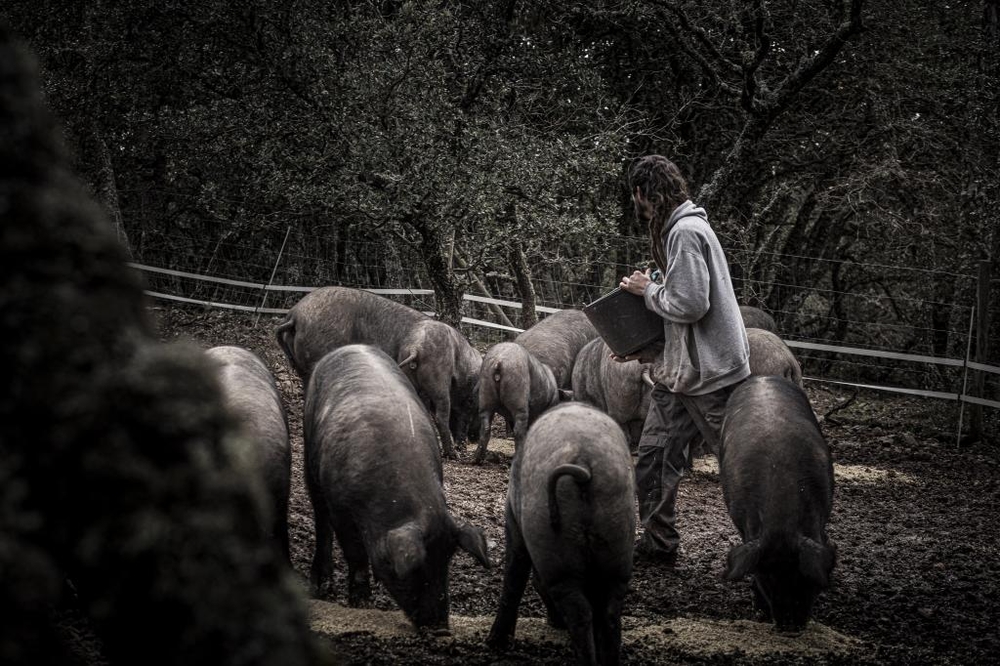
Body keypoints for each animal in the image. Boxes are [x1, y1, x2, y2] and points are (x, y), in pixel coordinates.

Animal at [272, 282, 478, 460]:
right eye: (470, 402)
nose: (472, 438)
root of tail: (295, 315)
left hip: (300, 365)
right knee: (441, 414)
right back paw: (453, 455)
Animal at [304, 344, 492, 632]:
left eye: (447, 560)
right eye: (416, 569)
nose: (440, 629)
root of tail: (348, 346)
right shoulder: (341, 509)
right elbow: (354, 551)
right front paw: (361, 603)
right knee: (321, 520)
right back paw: (319, 587)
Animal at [488, 400, 636, 664]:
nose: (555, 623)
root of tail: (584, 463)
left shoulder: (513, 520)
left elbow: (514, 575)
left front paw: (495, 642)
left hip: (555, 553)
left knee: (578, 611)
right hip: (618, 540)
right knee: (609, 612)